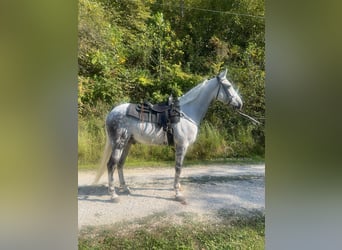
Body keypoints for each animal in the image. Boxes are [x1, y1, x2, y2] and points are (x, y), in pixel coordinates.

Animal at [95, 68, 242, 201]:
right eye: (228, 86)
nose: (240, 104)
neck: (186, 113)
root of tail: (112, 113)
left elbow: (178, 168)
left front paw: (178, 188)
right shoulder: (182, 145)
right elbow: (178, 168)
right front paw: (177, 193)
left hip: (127, 143)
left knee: (120, 164)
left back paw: (125, 188)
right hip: (119, 144)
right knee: (111, 165)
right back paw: (113, 195)